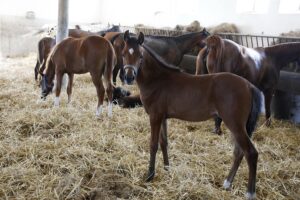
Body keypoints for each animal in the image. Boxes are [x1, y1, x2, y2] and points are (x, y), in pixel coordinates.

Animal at [122, 30, 262, 200]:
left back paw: (250, 192)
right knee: (239, 152)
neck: (158, 80)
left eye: (140, 55)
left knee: (251, 153)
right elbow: (164, 142)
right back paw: (227, 183)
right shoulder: (162, 117)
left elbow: (153, 145)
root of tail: (249, 86)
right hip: (238, 126)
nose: (129, 77)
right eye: (123, 54)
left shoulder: (154, 117)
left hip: (235, 124)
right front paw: (167, 169)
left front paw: (150, 175)